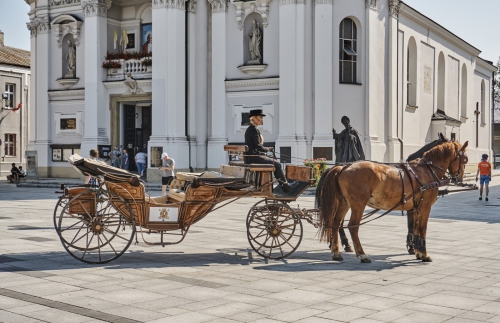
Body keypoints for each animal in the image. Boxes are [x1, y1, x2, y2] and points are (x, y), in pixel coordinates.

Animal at [318, 141, 466, 264]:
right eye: (465, 159)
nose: (459, 178)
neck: (426, 170)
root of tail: (344, 167)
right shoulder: (425, 206)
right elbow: (422, 229)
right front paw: (424, 254)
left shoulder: (415, 208)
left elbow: (415, 229)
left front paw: (417, 251)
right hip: (358, 204)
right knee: (353, 226)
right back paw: (362, 254)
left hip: (345, 203)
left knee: (336, 223)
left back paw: (336, 252)